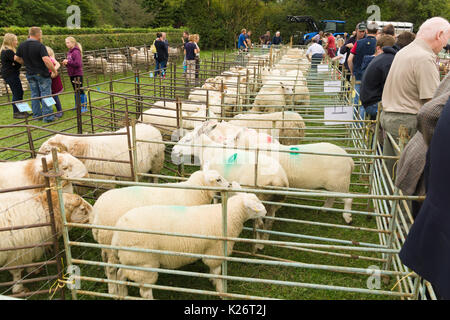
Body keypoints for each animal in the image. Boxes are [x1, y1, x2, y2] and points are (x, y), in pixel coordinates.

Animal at [108, 192, 268, 300]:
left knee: (120, 274)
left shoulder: (210, 251)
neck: (230, 216)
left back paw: (122, 294)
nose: (266, 212)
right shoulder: (215, 251)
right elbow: (217, 272)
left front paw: (212, 281)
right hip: (144, 263)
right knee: (144, 291)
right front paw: (221, 290)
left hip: (131, 260)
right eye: (256, 205)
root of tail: (117, 233)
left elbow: (213, 271)